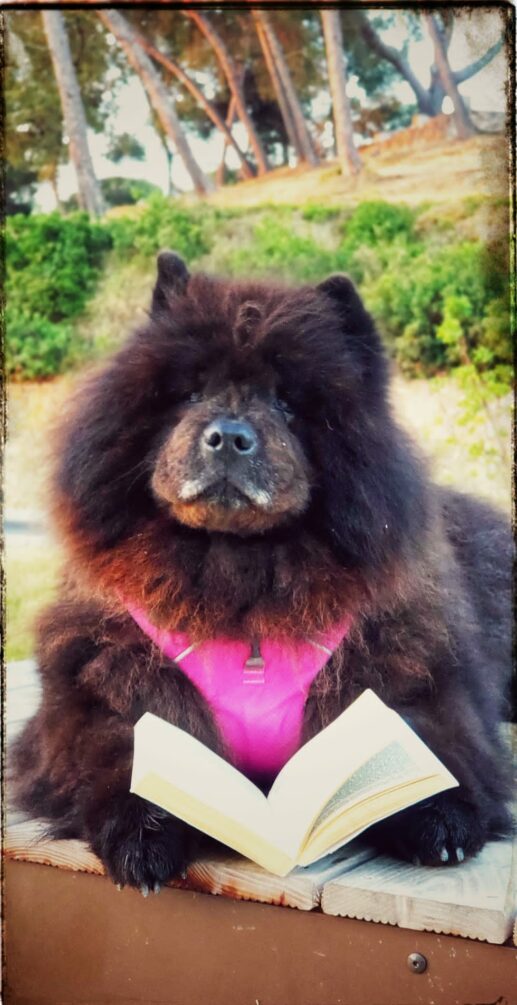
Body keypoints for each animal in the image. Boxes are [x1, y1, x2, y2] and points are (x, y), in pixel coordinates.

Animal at [11, 252, 512, 890]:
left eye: (286, 403)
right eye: (190, 393)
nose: (228, 435)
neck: (239, 580)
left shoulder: (413, 676)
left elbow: (425, 742)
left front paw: (439, 818)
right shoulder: (99, 691)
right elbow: (128, 748)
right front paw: (144, 833)